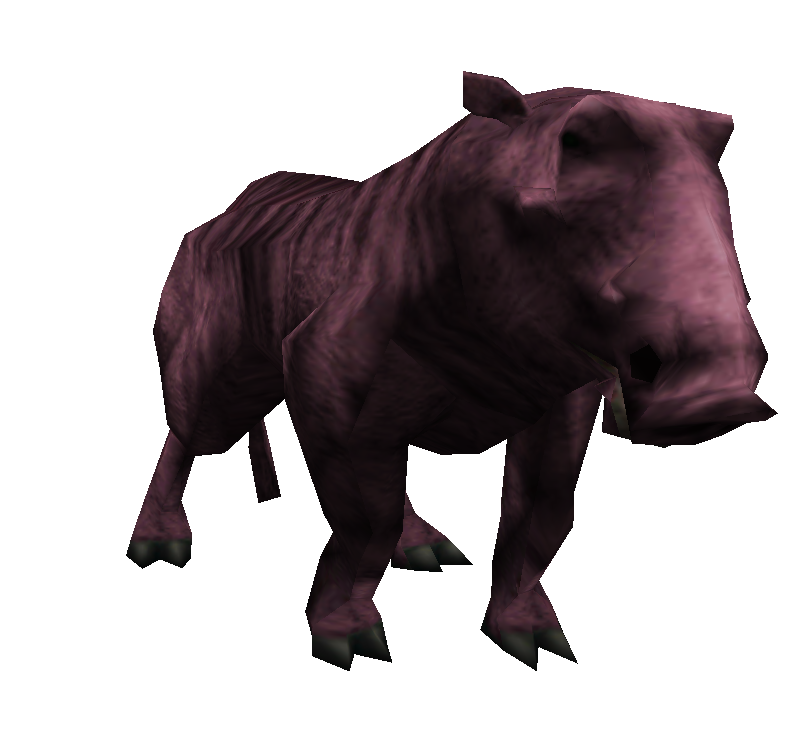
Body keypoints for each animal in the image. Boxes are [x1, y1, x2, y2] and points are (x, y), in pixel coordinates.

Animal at [129, 71, 774, 671]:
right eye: (540, 212)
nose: (718, 399)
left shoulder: (565, 397)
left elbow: (542, 511)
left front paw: (530, 635)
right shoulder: (319, 363)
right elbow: (367, 523)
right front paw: (348, 640)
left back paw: (427, 550)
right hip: (217, 365)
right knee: (194, 430)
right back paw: (157, 543)